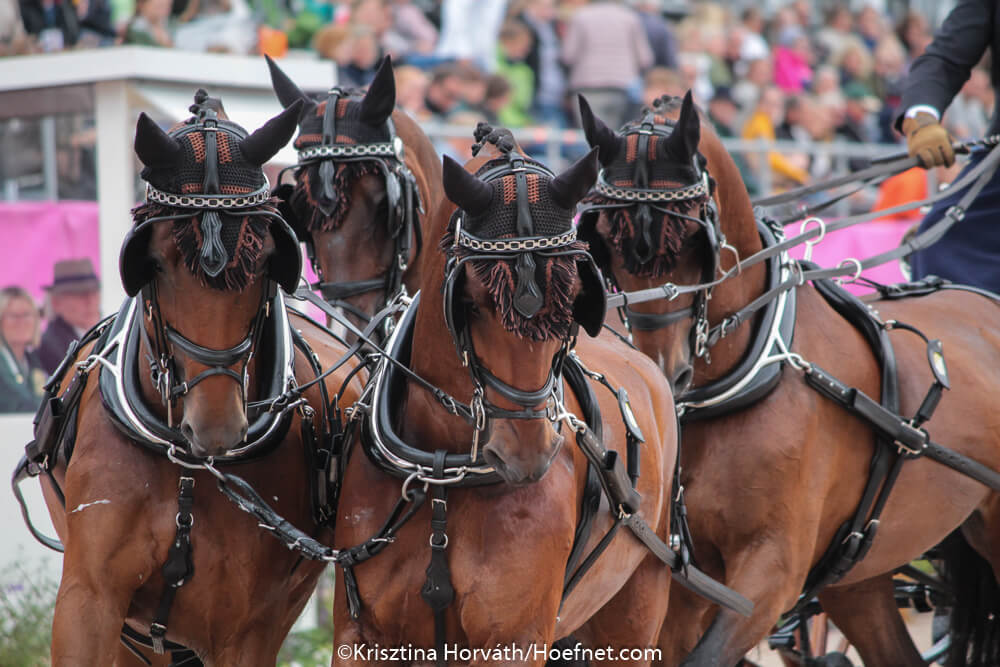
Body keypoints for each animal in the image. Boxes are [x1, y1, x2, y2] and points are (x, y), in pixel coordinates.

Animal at [22, 97, 363, 665]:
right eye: (155, 262)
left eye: (264, 260)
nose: (217, 427)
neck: (184, 462)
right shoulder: (89, 600)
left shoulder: (244, 628)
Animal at [328, 126, 679, 665]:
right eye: (471, 302)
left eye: (573, 302)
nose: (527, 455)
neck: (443, 473)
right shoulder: (361, 635)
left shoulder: (514, 638)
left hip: (635, 610)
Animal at [576, 92, 1000, 667]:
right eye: (607, 241)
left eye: (691, 236)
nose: (665, 371)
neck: (749, 374)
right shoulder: (686, 576)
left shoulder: (772, 570)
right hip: (858, 577)